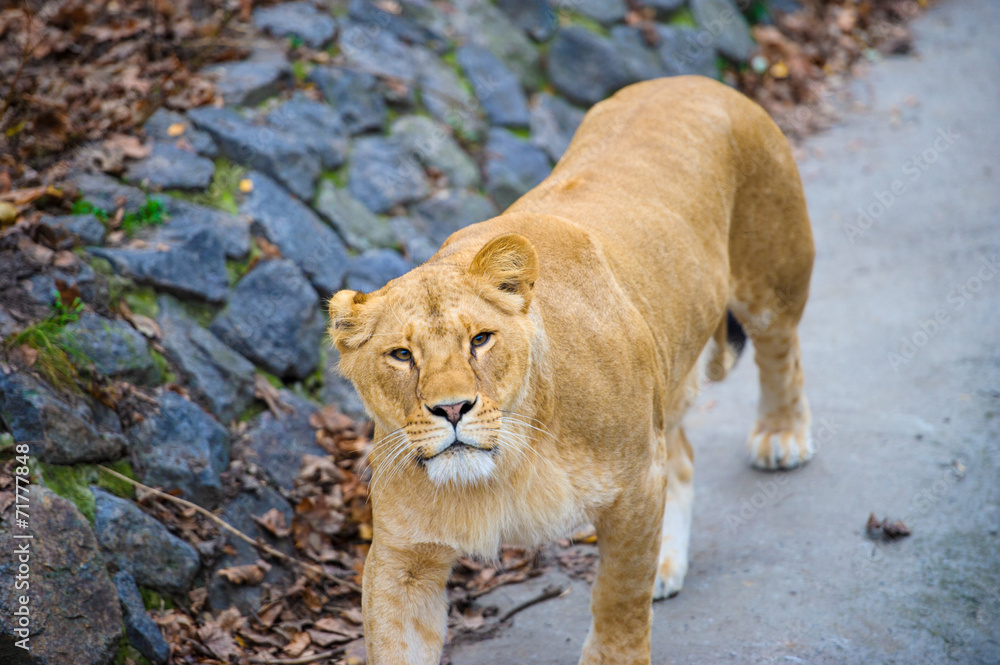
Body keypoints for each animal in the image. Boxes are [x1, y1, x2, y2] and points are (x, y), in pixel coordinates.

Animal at [328, 76, 815, 665]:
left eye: (480, 340)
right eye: (402, 355)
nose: (452, 408)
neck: (506, 468)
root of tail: (692, 79)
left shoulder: (634, 487)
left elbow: (619, 599)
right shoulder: (402, 558)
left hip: (772, 285)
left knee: (781, 355)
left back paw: (782, 436)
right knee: (682, 453)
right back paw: (669, 561)